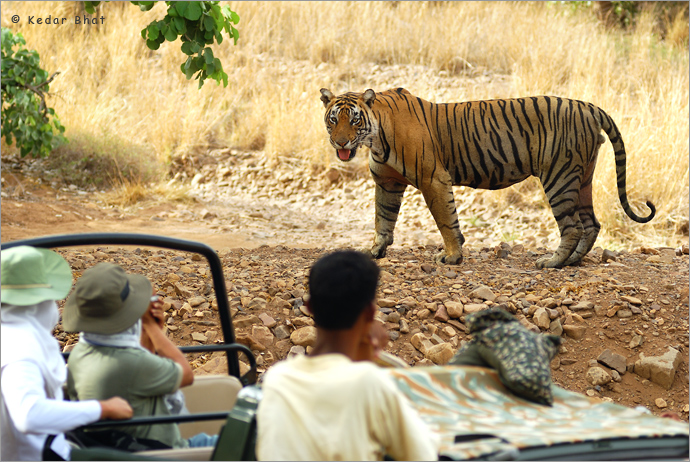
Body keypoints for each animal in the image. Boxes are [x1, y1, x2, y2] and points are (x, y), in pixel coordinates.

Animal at [319, 87, 655, 268]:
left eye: (355, 121)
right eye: (333, 120)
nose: (339, 143)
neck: (374, 137)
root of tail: (588, 106)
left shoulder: (433, 179)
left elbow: (446, 221)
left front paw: (452, 256)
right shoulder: (388, 184)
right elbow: (383, 219)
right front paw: (375, 251)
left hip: (559, 177)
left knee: (573, 226)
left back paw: (552, 263)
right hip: (583, 178)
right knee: (592, 223)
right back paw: (573, 260)